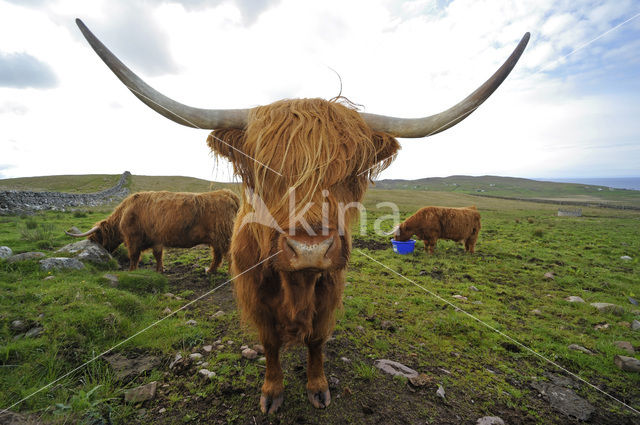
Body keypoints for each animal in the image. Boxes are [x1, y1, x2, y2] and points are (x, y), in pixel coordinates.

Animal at [65, 189, 240, 272]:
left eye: (98, 237)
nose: (103, 250)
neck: (124, 212)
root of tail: (228, 193)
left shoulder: (133, 239)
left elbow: (134, 257)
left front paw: (131, 271)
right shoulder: (156, 240)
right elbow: (158, 256)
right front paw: (159, 270)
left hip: (224, 236)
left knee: (229, 255)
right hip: (217, 239)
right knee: (218, 255)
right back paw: (209, 271)